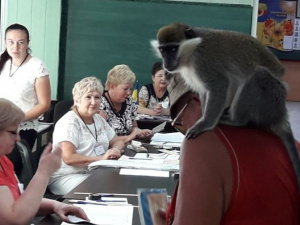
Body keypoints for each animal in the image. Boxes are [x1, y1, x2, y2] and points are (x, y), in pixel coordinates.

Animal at [151, 22, 300, 192]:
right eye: (163, 50)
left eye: (173, 49)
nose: (166, 62)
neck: (191, 52)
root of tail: (281, 114)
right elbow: (204, 91)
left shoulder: (203, 62)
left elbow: (219, 85)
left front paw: (205, 123)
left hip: (271, 99)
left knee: (258, 75)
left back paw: (236, 120)